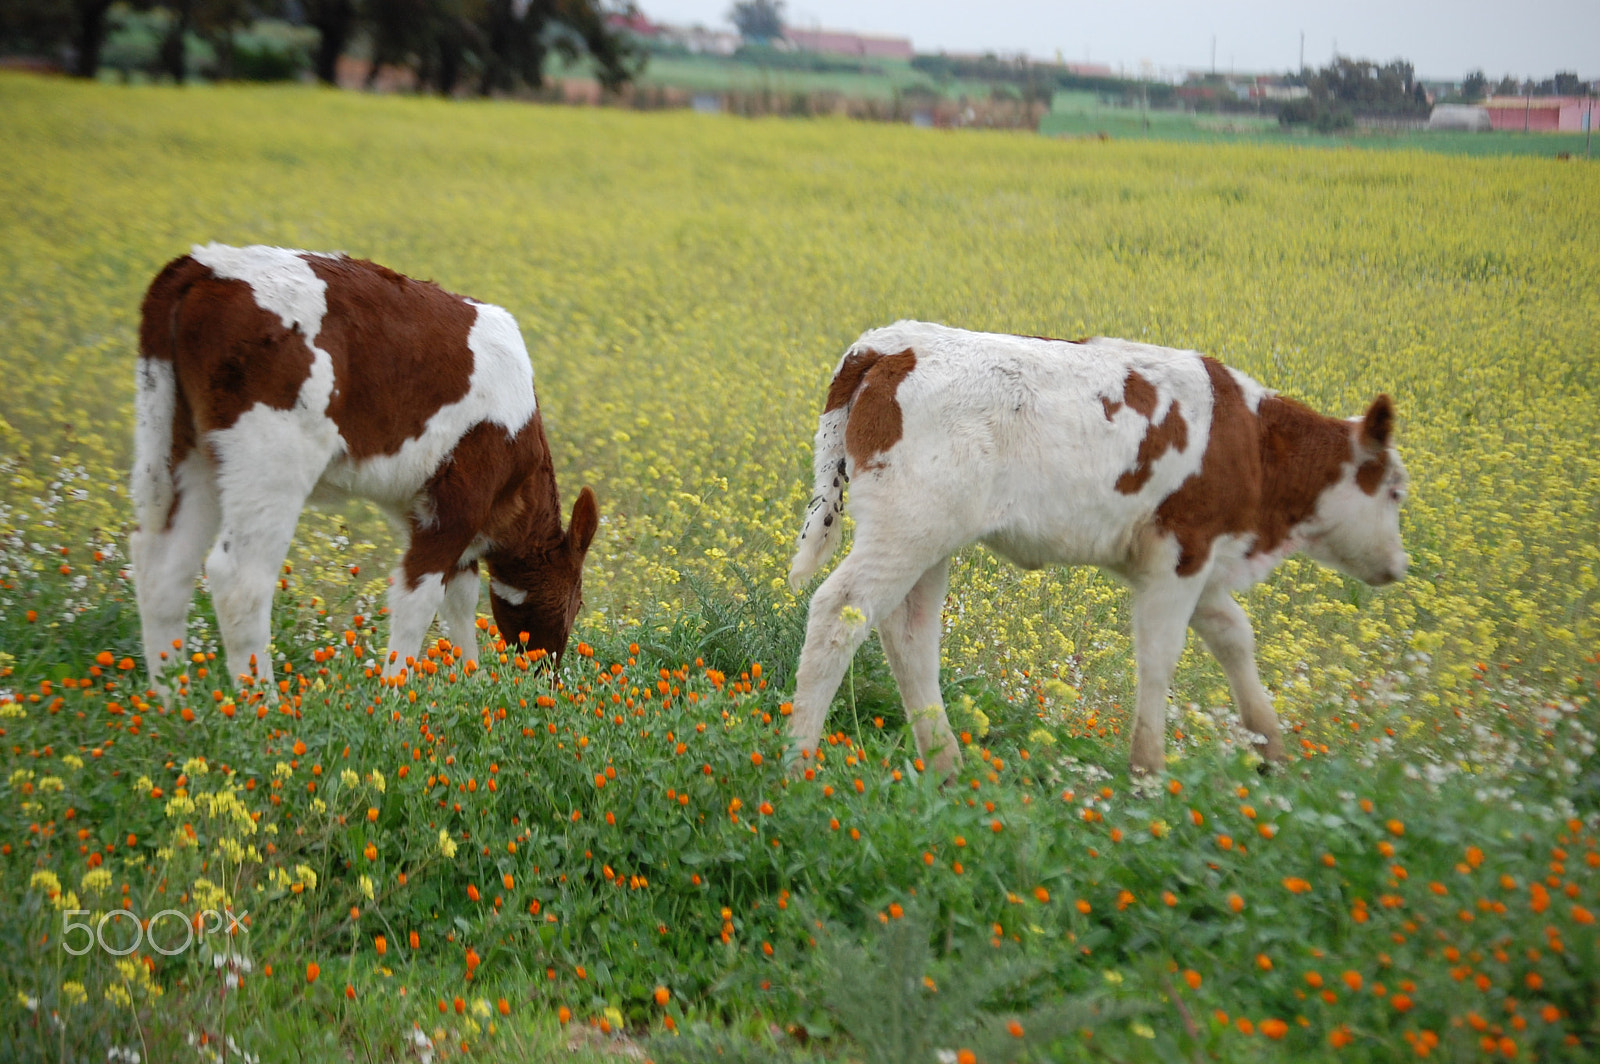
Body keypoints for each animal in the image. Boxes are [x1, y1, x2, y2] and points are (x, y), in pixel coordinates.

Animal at [131, 243, 598, 696]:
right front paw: (394, 697)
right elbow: (418, 599)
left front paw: (470, 679)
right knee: (240, 579)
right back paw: (260, 707)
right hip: (270, 454)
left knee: (163, 566)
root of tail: (203, 264)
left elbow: (460, 597)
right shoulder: (460, 502)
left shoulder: (426, 510)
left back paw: (172, 704)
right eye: (576, 602)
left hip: (186, 446)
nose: (547, 676)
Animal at [786, 322, 1408, 778]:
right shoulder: (1181, 552)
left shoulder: (1194, 563)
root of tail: (890, 343)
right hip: (908, 527)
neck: (1253, 440)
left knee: (909, 634)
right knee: (840, 611)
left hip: (928, 539)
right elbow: (1159, 655)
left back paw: (947, 767)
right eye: (1397, 491)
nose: (1401, 567)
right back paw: (799, 763)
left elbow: (1234, 636)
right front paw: (1147, 771)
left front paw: (1271, 752)